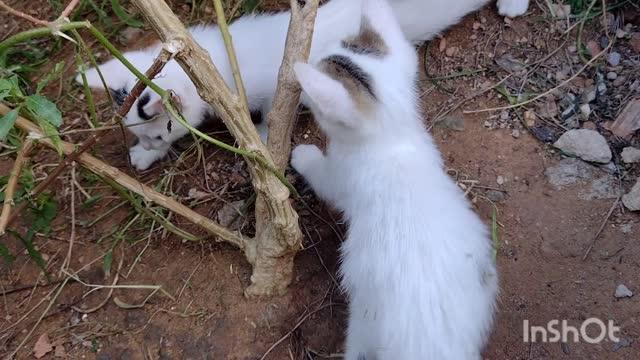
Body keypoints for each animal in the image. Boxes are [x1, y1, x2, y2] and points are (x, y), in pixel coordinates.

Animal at [77, 0, 528, 170]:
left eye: (161, 131)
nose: (151, 144)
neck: (214, 60)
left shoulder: (282, 84)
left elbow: (274, 117)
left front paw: (261, 141)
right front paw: (142, 155)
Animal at [292, 0, 498, 358]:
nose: (302, 98)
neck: (393, 141)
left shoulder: (340, 177)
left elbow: (321, 176)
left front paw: (301, 155)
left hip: (364, 323)